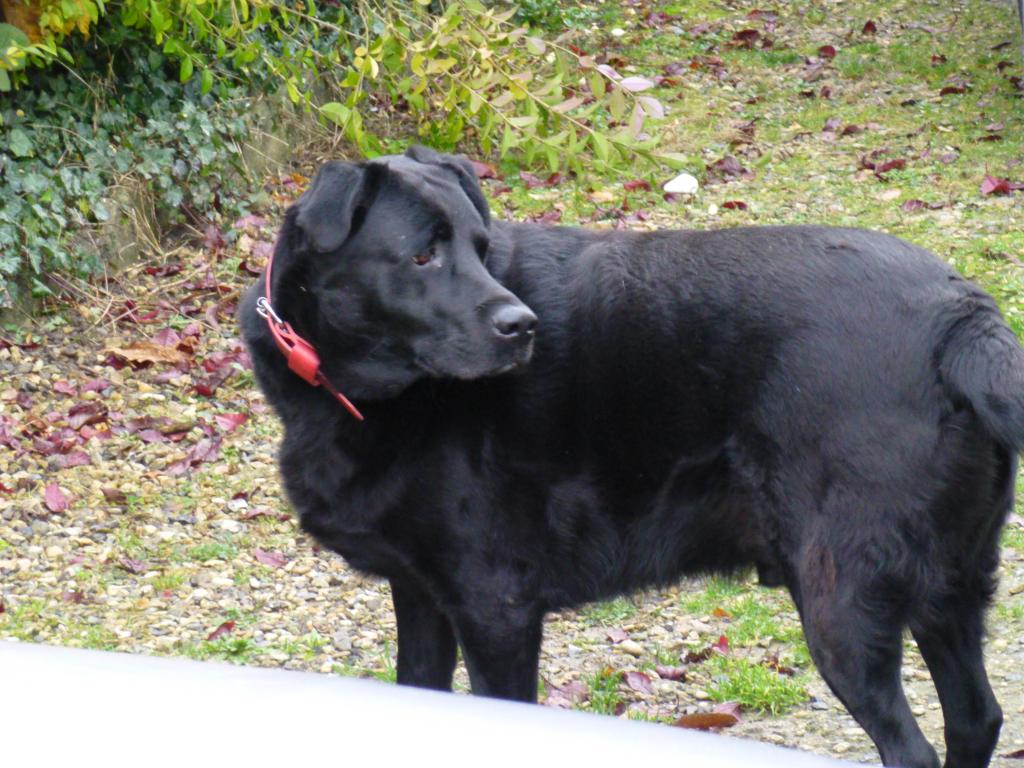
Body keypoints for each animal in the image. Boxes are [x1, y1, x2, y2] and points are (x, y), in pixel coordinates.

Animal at [243, 145, 1019, 768]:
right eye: (422, 255)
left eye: (479, 245)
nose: (521, 326)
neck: (360, 387)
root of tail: (963, 317)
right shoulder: (423, 595)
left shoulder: (496, 606)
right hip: (949, 584)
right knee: (977, 719)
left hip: (842, 599)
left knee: (913, 748)